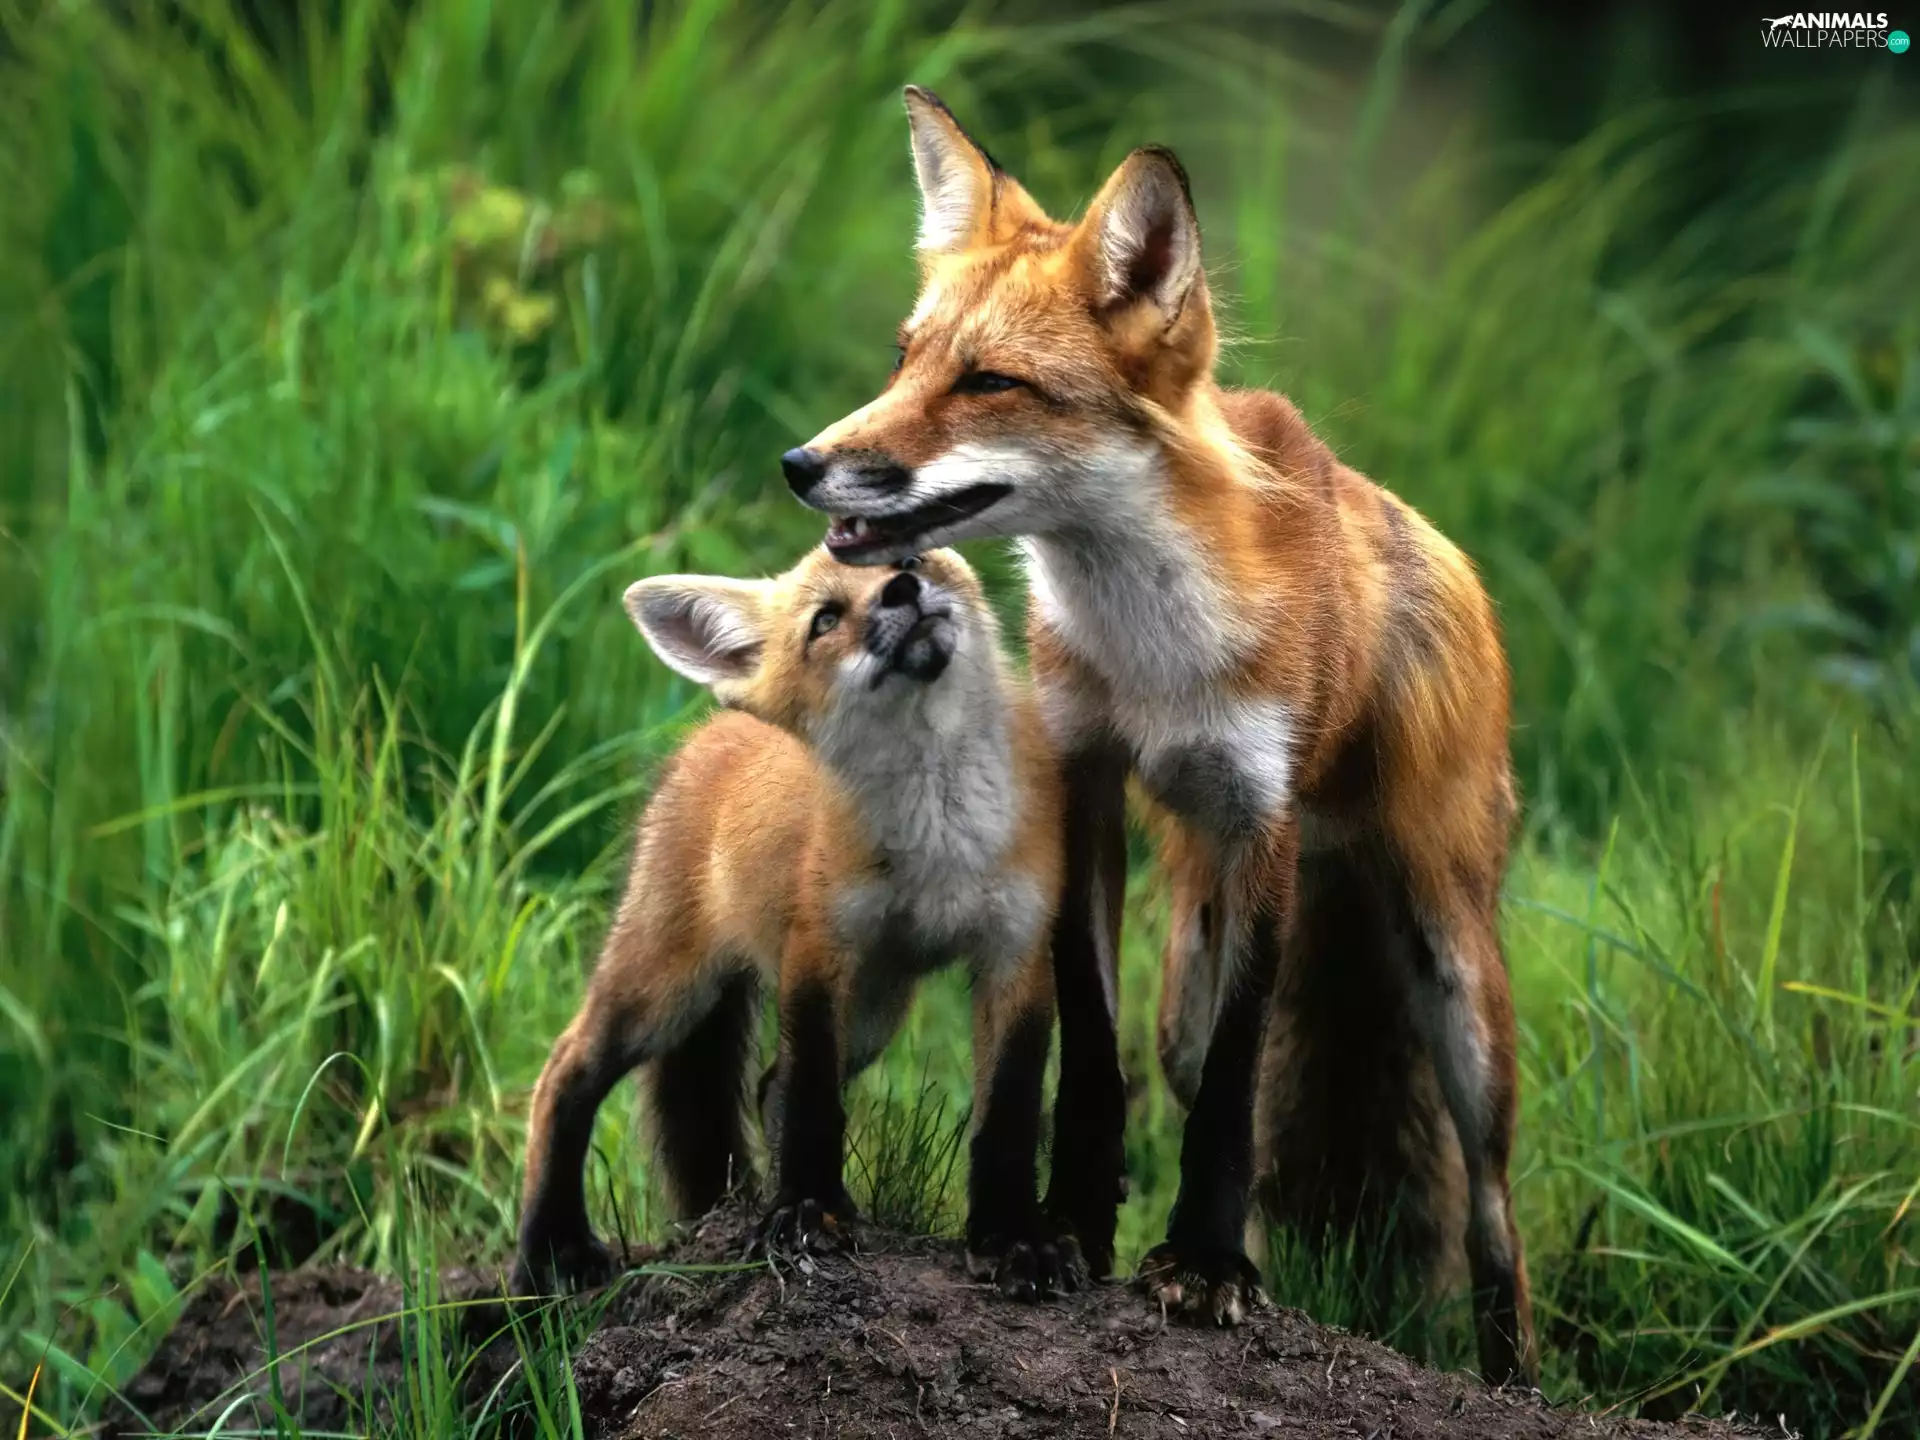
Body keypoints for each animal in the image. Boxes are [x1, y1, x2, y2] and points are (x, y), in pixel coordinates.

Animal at [513, 546, 1083, 1303]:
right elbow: (814, 1095)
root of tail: (712, 726)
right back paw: (552, 1250)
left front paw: (1015, 1237)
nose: (903, 588)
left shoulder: (1017, 951)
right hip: (666, 992)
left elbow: (1008, 1115)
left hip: (873, 1012)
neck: (939, 837)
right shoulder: (819, 946)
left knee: (764, 1085)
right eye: (826, 619)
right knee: (564, 1071)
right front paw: (809, 1211)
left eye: (909, 556)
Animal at [776, 87, 1536, 1384]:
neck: (1154, 658)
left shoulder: (1262, 820)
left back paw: (1508, 1374)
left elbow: (1234, 1081)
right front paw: (1072, 1225)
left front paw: (1206, 1268)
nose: (802, 464)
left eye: (988, 381)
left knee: (1493, 1217)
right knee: (1212, 1087)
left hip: (1455, 978)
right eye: (904, 357)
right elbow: (1097, 1048)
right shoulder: (1086, 781)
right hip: (1189, 954)